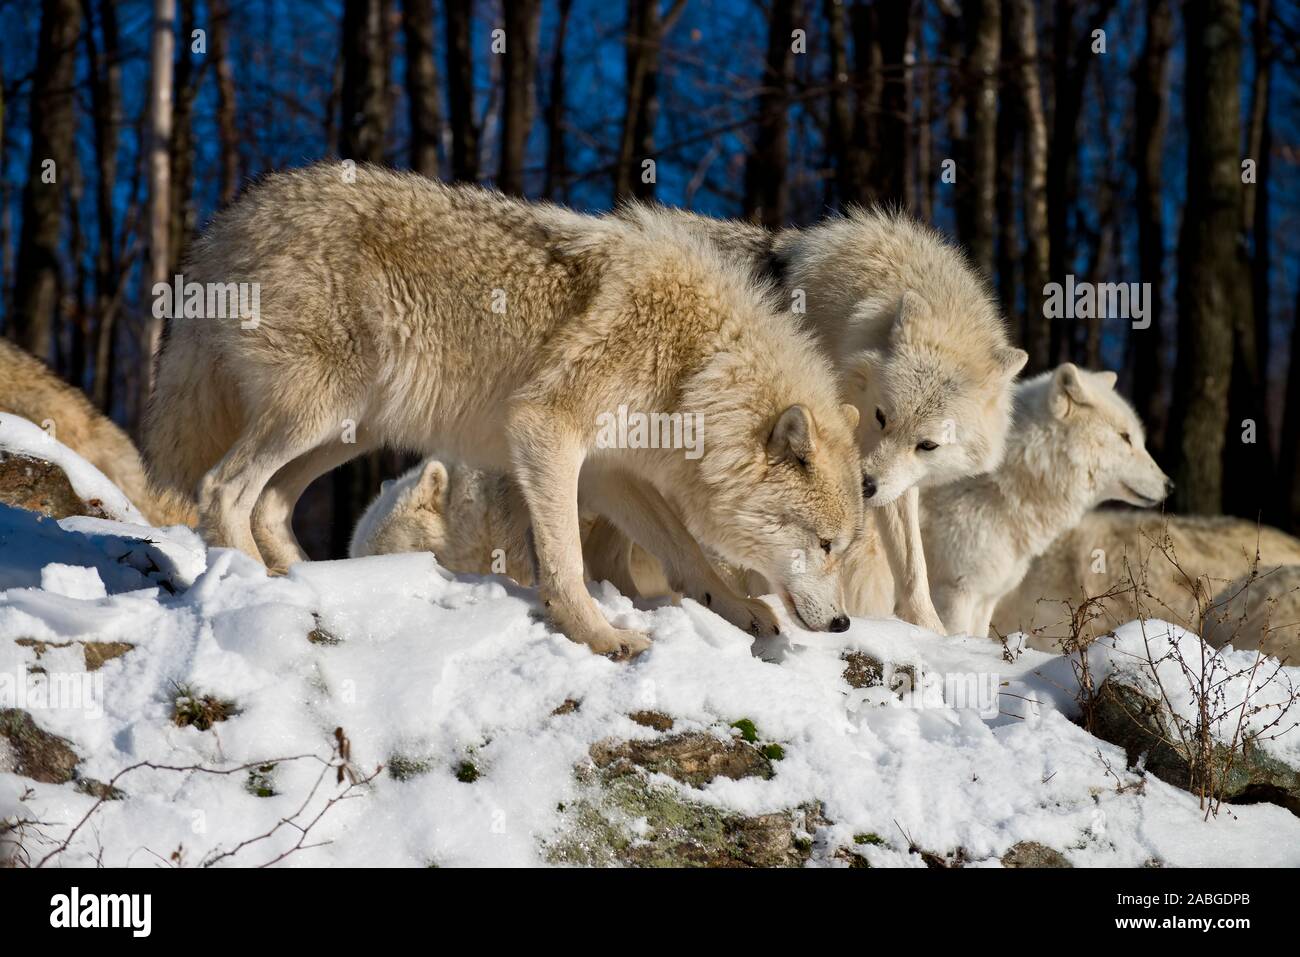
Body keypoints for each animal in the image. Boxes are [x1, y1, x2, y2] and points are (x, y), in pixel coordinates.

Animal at [147, 164, 868, 657]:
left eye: (843, 547)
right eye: (825, 544)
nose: (841, 623)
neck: (694, 364)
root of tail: (233, 216)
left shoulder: (613, 470)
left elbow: (689, 556)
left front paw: (743, 610)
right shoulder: (546, 432)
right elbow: (566, 556)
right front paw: (599, 636)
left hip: (348, 429)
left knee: (270, 502)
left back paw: (308, 584)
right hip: (314, 413)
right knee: (223, 488)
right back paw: (253, 582)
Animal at [613, 205, 1029, 631]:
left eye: (927, 445)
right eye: (881, 416)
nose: (865, 486)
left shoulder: (894, 484)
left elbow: (913, 567)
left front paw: (933, 633)